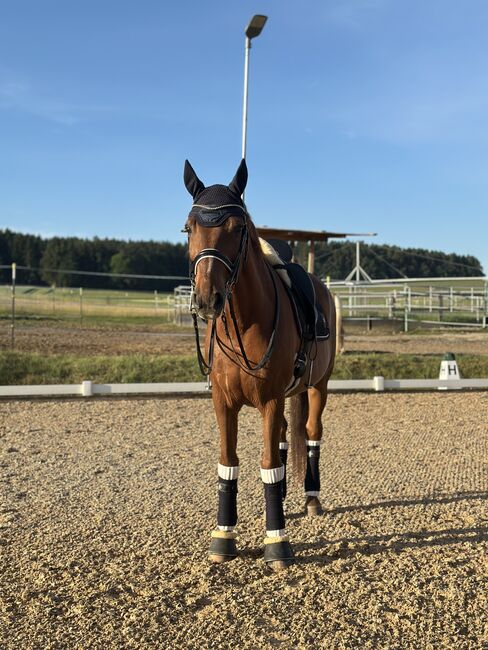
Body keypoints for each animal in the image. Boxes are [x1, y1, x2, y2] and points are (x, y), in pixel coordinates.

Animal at [183, 159, 336, 570]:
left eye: (237, 229)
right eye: (189, 227)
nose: (206, 299)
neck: (245, 321)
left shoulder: (268, 399)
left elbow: (268, 463)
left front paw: (276, 542)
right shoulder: (223, 402)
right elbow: (228, 461)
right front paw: (224, 535)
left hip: (318, 386)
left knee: (311, 432)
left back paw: (311, 497)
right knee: (284, 434)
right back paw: (281, 496)